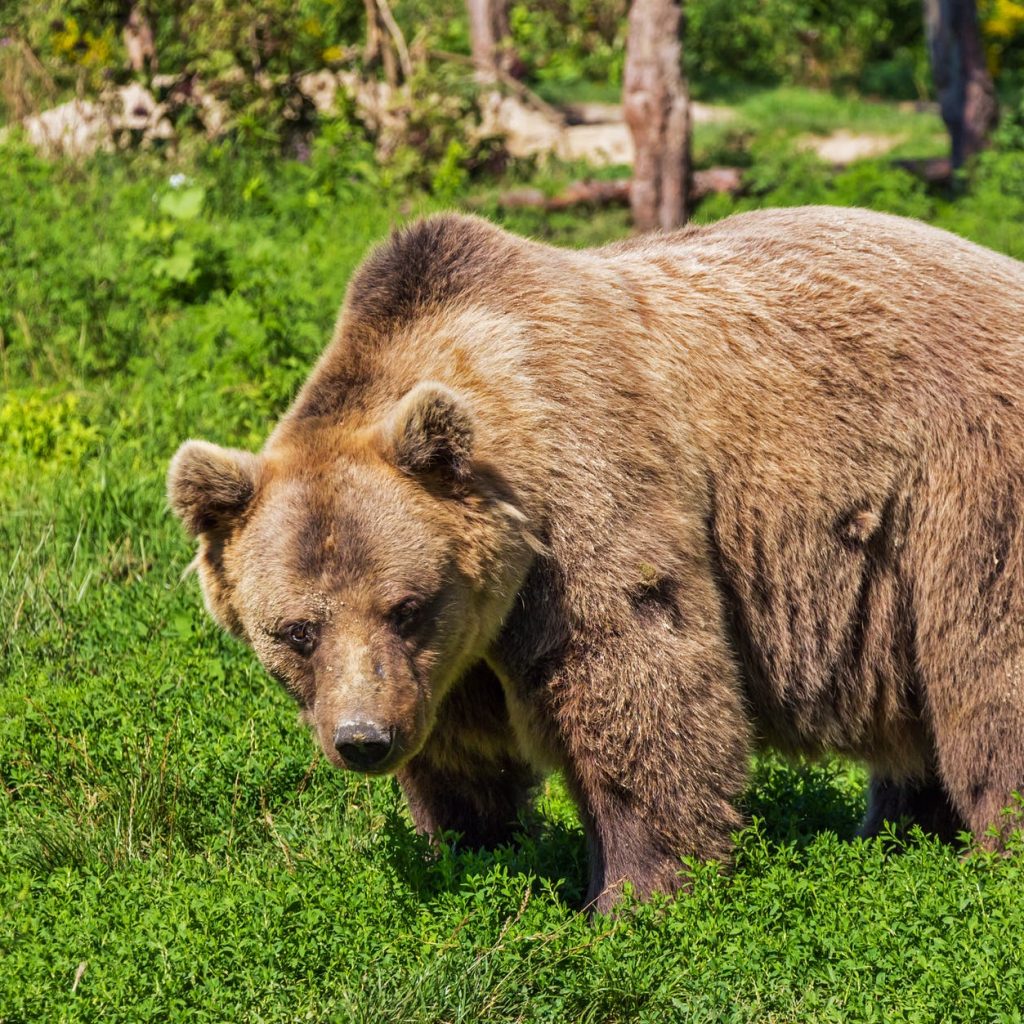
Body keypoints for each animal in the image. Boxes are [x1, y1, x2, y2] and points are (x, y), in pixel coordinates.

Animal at [167, 205, 1024, 913]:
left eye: (405, 607)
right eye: (296, 631)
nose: (363, 739)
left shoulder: (588, 498)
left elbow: (636, 684)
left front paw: (631, 895)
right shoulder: (457, 653)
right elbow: (462, 751)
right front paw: (468, 849)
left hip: (965, 490)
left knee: (986, 673)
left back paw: (985, 857)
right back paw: (896, 835)